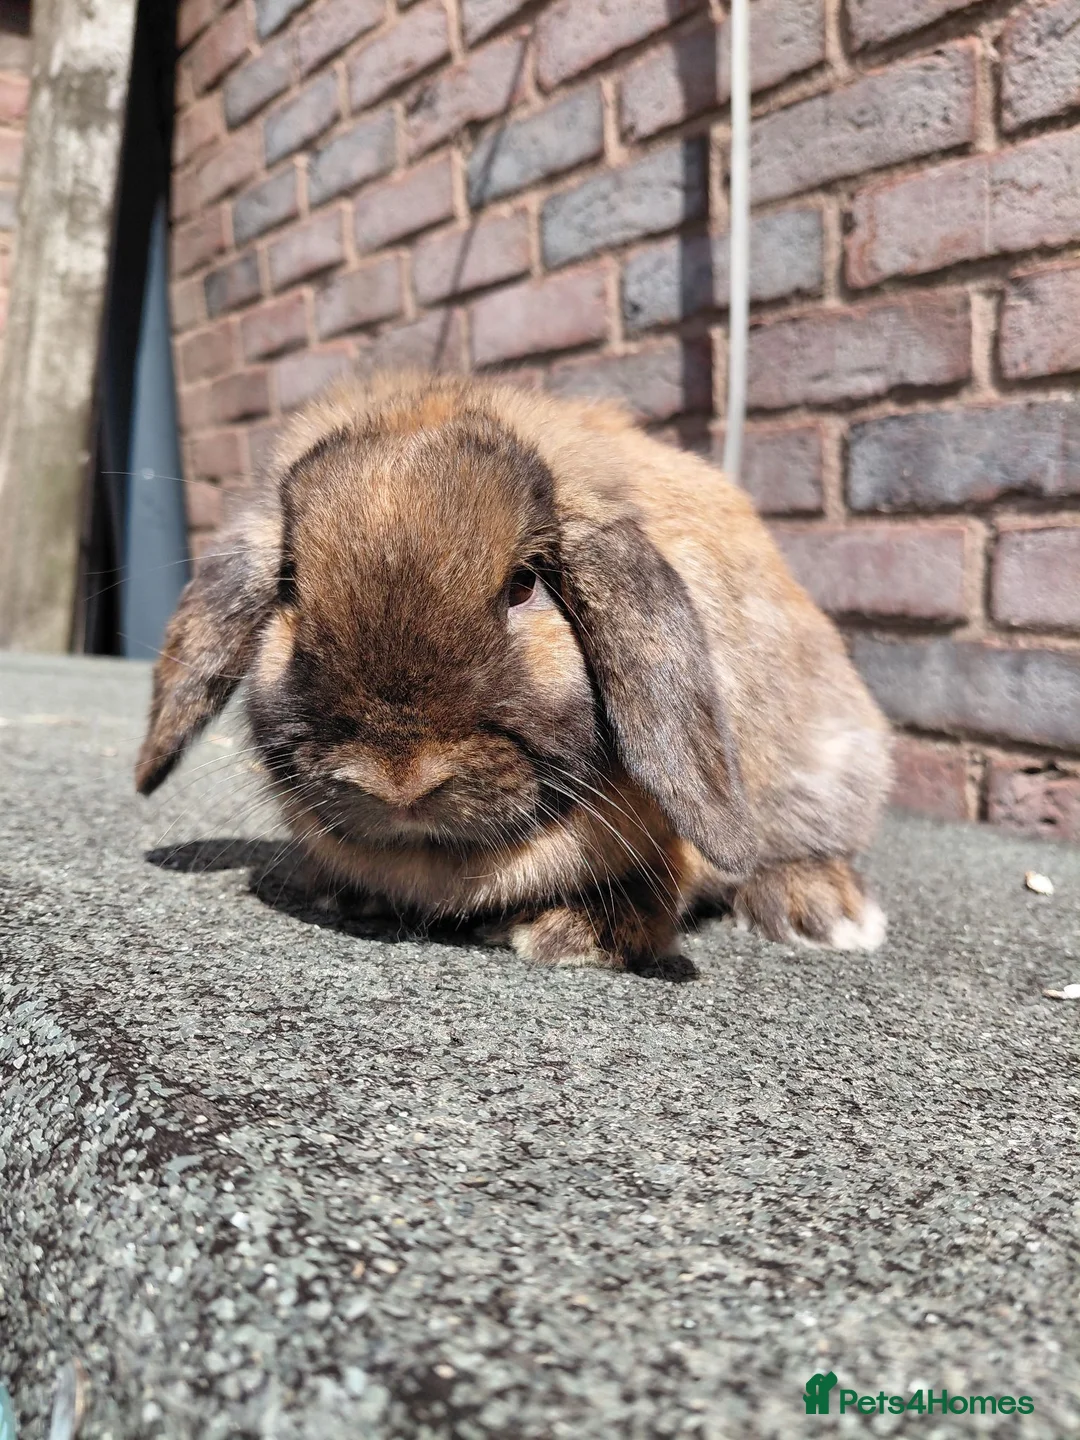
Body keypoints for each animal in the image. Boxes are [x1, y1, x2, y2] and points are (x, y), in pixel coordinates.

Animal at [136, 369, 892, 973]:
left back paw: (818, 909)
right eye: (291, 587)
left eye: (524, 585)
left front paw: (565, 935)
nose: (397, 779)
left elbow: (660, 889)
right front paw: (336, 891)